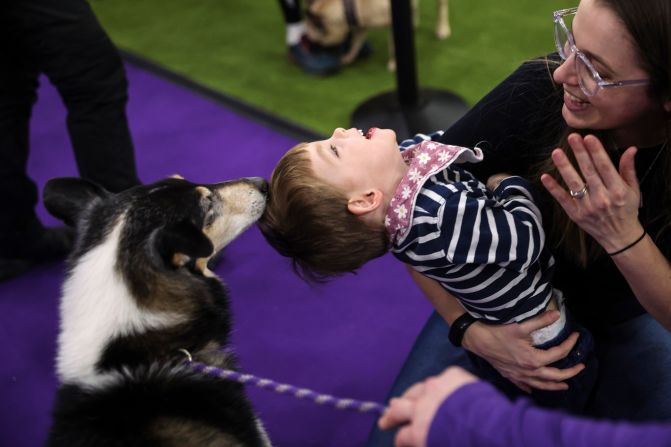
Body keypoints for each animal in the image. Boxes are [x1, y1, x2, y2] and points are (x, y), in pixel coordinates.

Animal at [306, 0, 452, 70]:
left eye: (314, 43)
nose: (312, 51)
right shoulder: (361, 23)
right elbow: (356, 42)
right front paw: (349, 57)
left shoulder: (393, 24)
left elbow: (394, 46)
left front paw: (394, 63)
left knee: (441, 4)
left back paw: (442, 28)